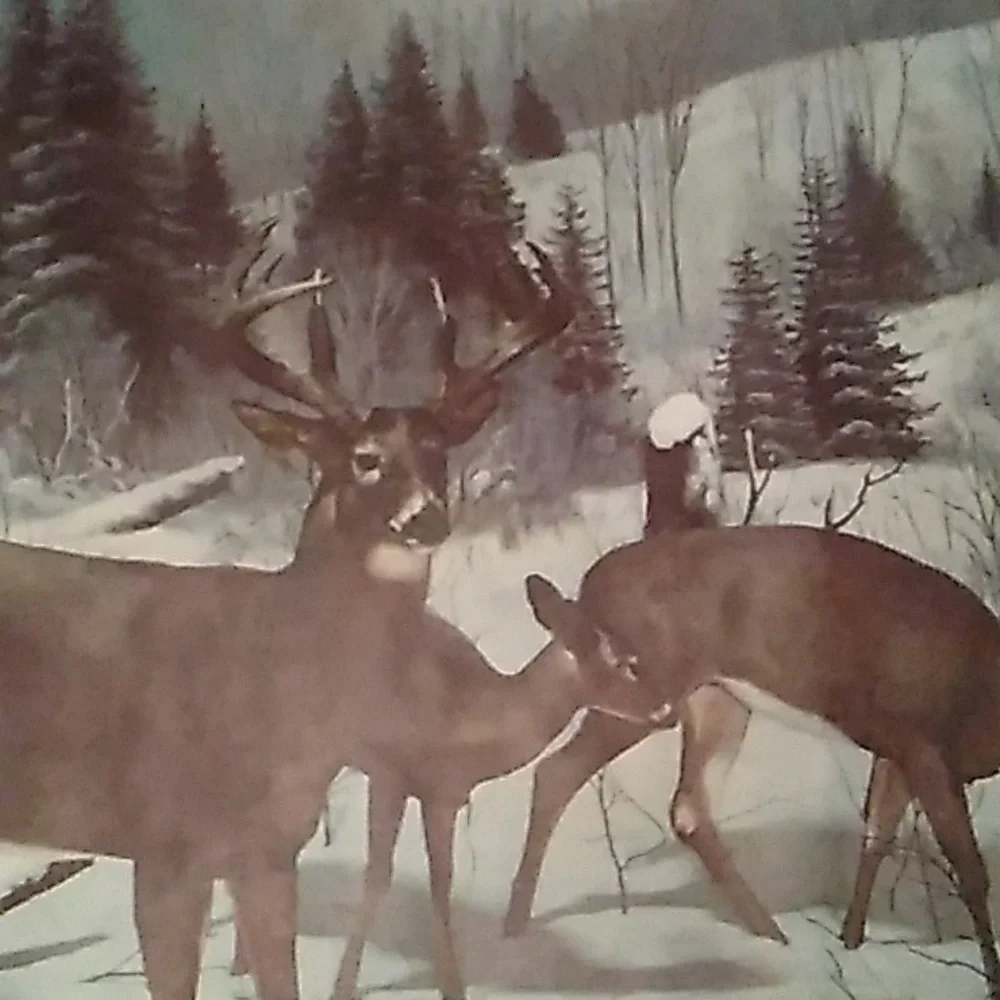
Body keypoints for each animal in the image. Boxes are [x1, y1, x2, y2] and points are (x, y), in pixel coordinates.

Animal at [518, 524, 1000, 998]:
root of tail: (588, 585)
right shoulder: (924, 743)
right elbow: (971, 869)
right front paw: (990, 978)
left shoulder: (896, 750)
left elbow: (876, 838)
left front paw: (850, 945)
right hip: (643, 693)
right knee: (558, 771)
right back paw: (516, 929)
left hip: (717, 698)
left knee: (687, 809)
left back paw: (773, 937)